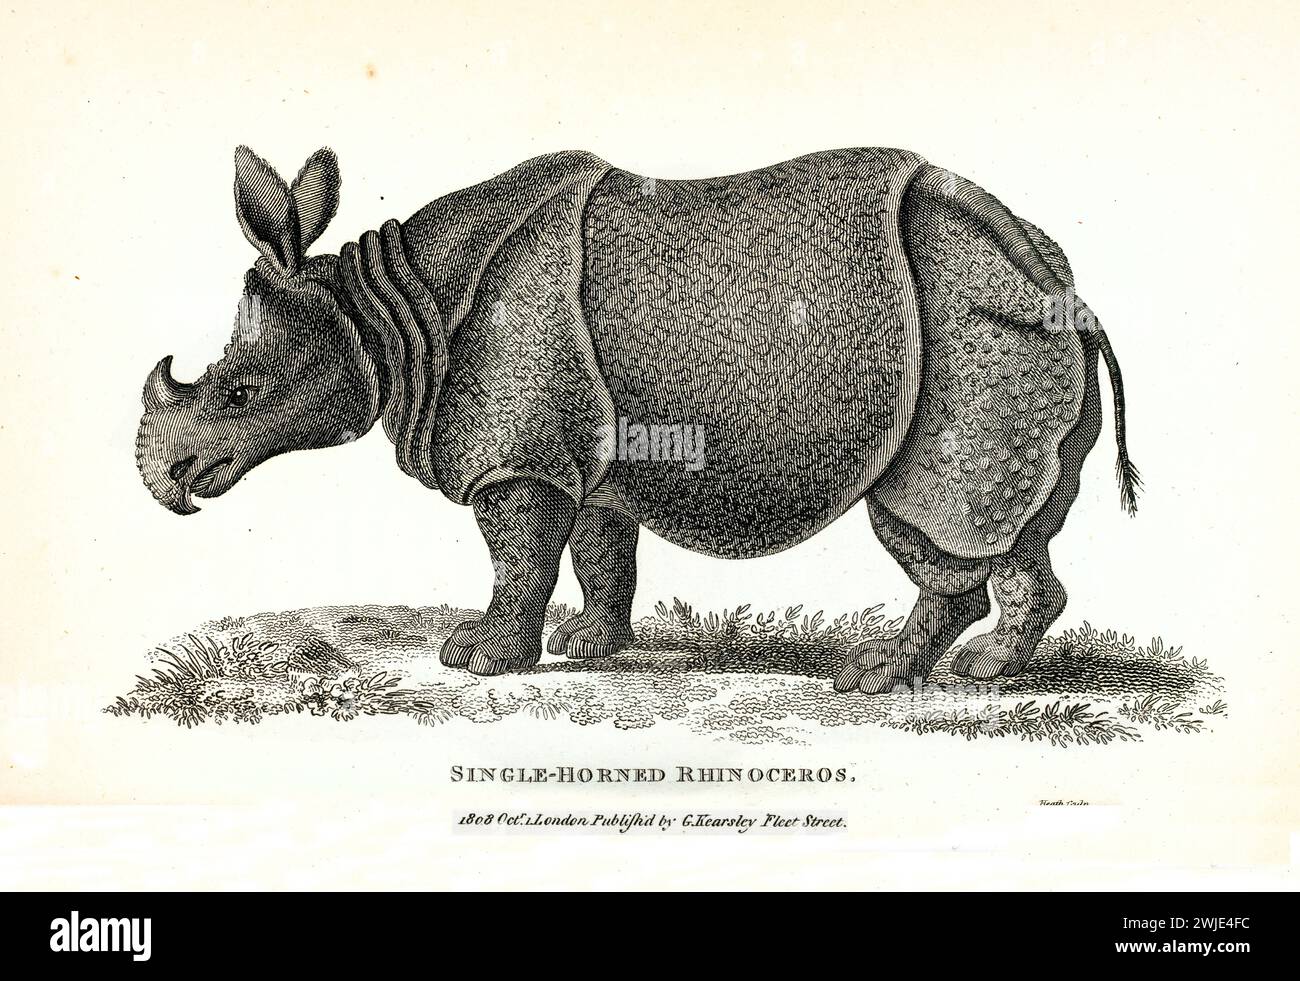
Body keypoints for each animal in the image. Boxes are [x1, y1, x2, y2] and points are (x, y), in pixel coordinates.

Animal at [135, 145, 1139, 693]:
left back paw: (879, 679)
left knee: (928, 513)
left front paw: (478, 659)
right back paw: (980, 670)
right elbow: (598, 547)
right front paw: (589, 644)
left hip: (970, 330)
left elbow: (519, 556)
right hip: (1018, 322)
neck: (382, 315)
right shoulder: (587, 447)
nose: (172, 481)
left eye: (239, 395)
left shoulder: (517, 450)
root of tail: (1057, 283)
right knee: (1016, 523)